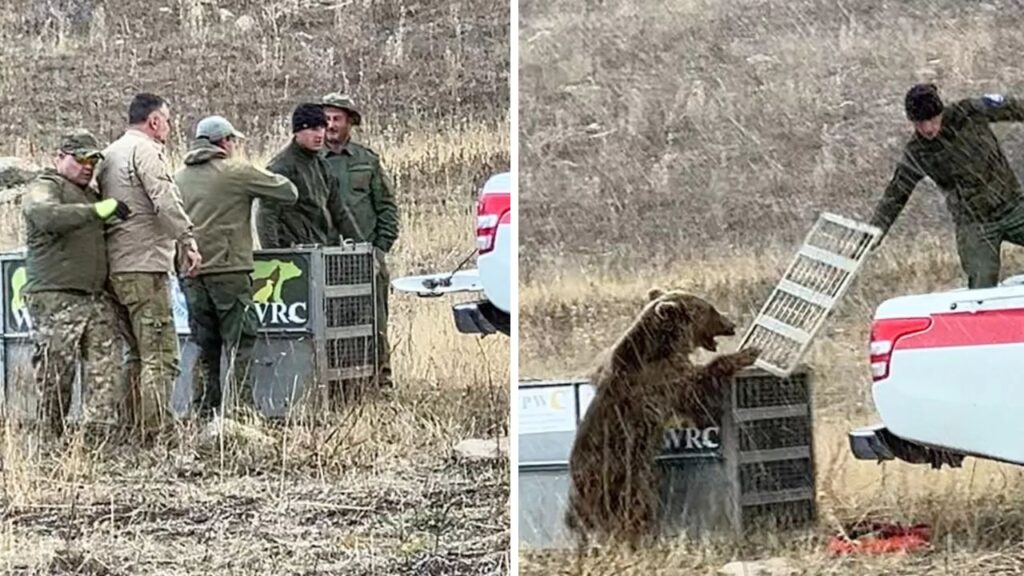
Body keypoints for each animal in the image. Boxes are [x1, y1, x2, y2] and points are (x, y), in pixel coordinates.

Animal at [561, 289, 761, 549]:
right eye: (710, 309)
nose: (731, 325)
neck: (665, 346)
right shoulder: (664, 380)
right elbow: (698, 390)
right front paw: (747, 353)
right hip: (625, 481)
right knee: (634, 512)